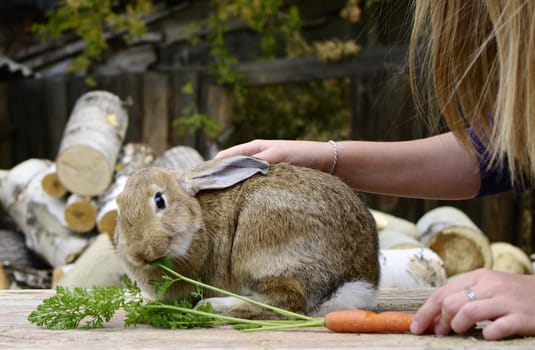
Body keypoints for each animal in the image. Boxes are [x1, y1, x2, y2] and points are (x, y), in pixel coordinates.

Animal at [115, 156, 378, 320]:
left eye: (160, 200)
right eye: (118, 207)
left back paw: (212, 306)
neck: (197, 223)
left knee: (289, 303)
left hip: (258, 252)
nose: (140, 253)